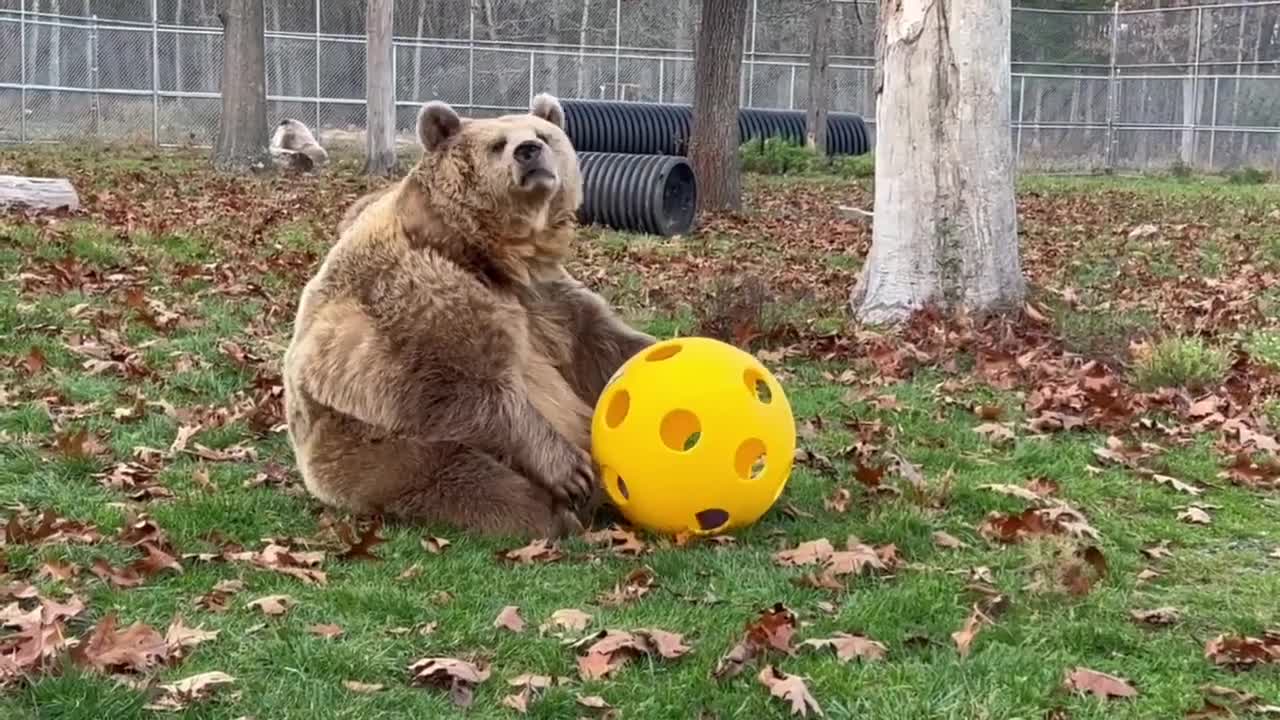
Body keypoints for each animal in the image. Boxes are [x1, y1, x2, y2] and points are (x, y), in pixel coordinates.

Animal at [284, 92, 655, 535]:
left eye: (544, 134)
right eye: (497, 144)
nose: (529, 152)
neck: (488, 255)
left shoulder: (544, 297)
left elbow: (598, 343)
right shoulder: (421, 294)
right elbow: (464, 386)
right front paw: (568, 470)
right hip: (369, 445)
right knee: (466, 478)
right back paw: (559, 512)